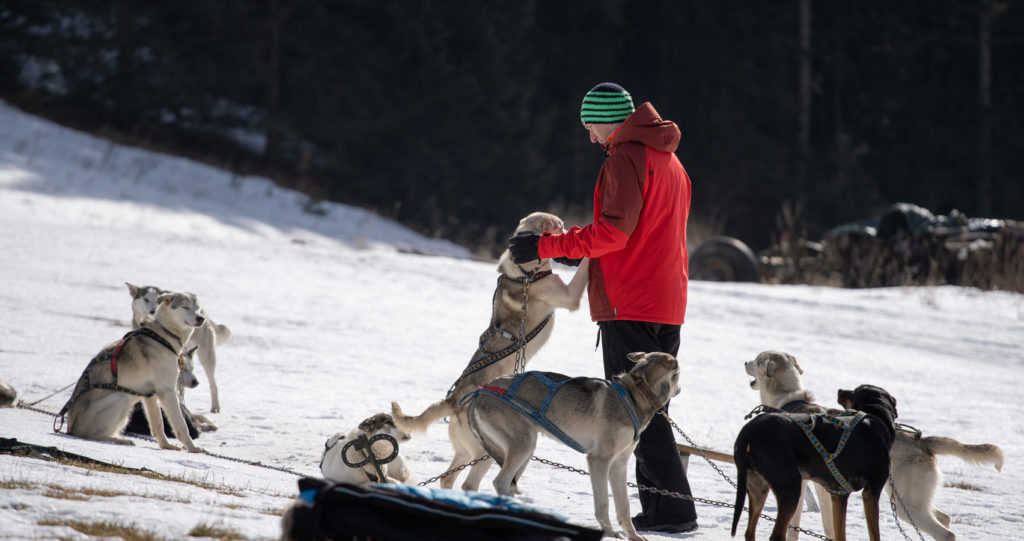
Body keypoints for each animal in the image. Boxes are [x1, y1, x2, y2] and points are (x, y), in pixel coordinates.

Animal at [127, 280, 232, 411]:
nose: (153, 311)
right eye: (146, 299)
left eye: (158, 300)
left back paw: (215, 407)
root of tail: (204, 313)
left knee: (213, 383)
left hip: (206, 357)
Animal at [387, 213, 589, 491]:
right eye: (559, 225)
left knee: (449, 477)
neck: (524, 272)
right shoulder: (569, 296)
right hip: (487, 452)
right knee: (470, 483)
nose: (569, 228)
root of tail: (452, 401)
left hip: (467, 450)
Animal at [468, 350, 684, 541]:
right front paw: (609, 533)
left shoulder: (619, 465)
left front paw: (633, 536)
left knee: (472, 484)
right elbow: (603, 503)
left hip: (498, 452)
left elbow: (623, 506)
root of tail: (480, 392)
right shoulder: (599, 460)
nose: (681, 389)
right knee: (500, 482)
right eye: (678, 375)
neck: (635, 395)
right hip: (525, 445)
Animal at [741, 350, 1003, 541]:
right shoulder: (817, 487)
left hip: (907, 504)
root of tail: (922, 442)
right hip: (910, 501)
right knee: (944, 517)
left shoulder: (818, 488)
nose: (744, 361)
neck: (791, 401)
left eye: (756, 359)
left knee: (946, 533)